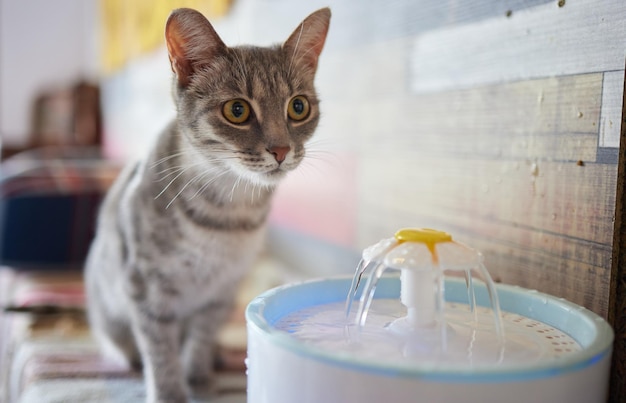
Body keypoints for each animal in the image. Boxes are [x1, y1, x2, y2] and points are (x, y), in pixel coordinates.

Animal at [86, 7, 332, 403]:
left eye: (298, 106)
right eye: (237, 110)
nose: (281, 150)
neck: (227, 210)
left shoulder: (221, 291)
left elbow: (200, 338)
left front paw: (198, 376)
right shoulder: (146, 288)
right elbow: (160, 348)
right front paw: (170, 391)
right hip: (108, 308)